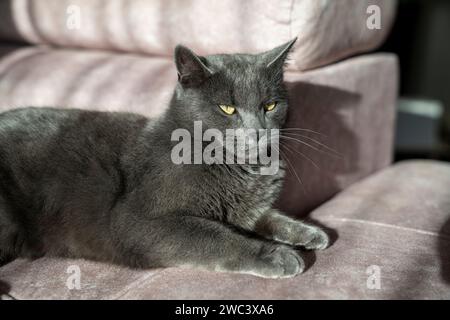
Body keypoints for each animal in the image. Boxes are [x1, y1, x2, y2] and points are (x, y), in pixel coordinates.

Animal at [0, 39, 330, 278]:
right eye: (227, 108)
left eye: (270, 105)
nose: (258, 132)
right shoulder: (137, 221)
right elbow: (217, 236)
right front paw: (277, 255)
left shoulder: (247, 208)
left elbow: (265, 215)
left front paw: (309, 232)